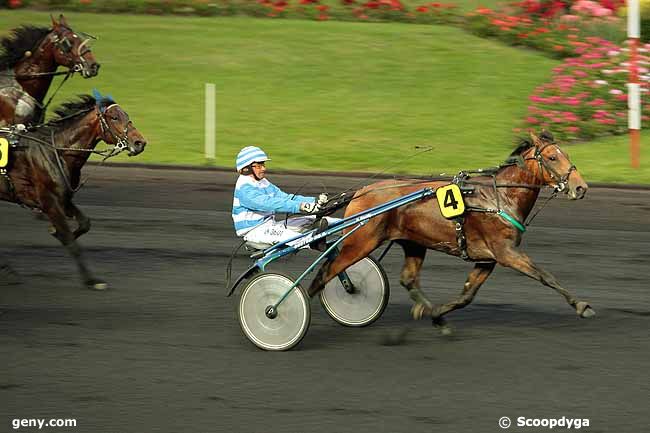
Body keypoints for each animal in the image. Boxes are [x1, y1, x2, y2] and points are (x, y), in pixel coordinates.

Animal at [0, 93, 146, 290]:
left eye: (126, 115)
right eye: (114, 117)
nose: (140, 143)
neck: (57, 151)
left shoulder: (64, 198)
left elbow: (84, 223)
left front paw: (55, 231)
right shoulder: (49, 201)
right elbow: (71, 240)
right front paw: (92, 280)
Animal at [308, 130, 592, 332]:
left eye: (566, 154)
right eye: (553, 157)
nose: (581, 187)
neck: (498, 197)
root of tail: (361, 191)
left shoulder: (487, 258)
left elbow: (467, 294)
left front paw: (437, 315)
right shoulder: (506, 252)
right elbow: (546, 276)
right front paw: (581, 305)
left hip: (413, 242)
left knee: (407, 279)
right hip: (361, 241)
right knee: (326, 272)